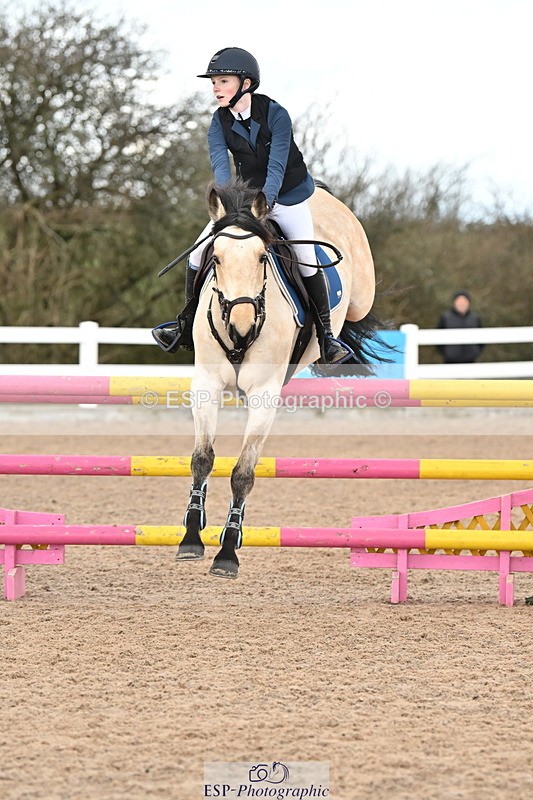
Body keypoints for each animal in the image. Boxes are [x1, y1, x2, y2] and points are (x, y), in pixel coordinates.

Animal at [176, 178, 379, 578]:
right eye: (215, 258)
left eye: (261, 257)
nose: (240, 327)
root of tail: (322, 192)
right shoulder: (206, 385)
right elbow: (202, 458)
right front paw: (192, 536)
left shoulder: (264, 394)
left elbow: (243, 472)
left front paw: (228, 552)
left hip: (363, 293)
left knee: (357, 310)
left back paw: (334, 345)